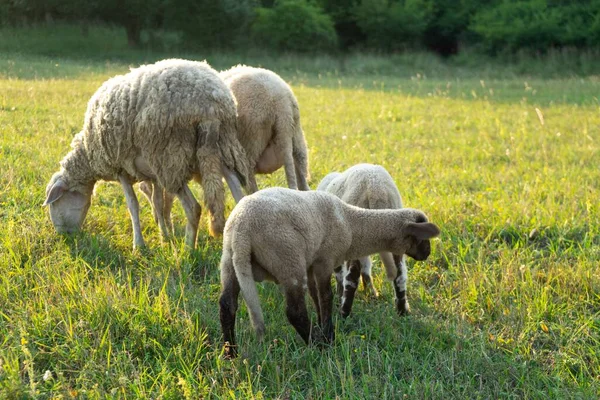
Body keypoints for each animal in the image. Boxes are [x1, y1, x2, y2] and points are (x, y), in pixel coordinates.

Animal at [43, 58, 251, 250]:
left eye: (54, 203)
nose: (64, 236)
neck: (88, 154)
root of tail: (210, 104)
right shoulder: (153, 173)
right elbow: (157, 204)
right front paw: (164, 237)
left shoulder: (120, 167)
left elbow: (133, 205)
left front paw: (139, 246)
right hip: (222, 147)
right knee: (239, 196)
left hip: (171, 158)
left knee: (194, 208)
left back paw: (188, 250)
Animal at [218, 186, 438, 358]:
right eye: (423, 239)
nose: (427, 254)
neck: (353, 224)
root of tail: (242, 229)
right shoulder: (325, 260)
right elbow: (326, 297)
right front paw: (328, 335)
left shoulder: (311, 263)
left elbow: (315, 296)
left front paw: (322, 326)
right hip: (288, 260)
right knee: (295, 312)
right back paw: (317, 345)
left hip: (229, 261)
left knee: (227, 305)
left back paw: (231, 353)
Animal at [316, 164, 410, 318]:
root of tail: (376, 190)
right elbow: (366, 266)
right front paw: (371, 292)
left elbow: (340, 273)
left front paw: (339, 296)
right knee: (400, 273)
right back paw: (402, 310)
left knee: (352, 277)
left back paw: (345, 313)